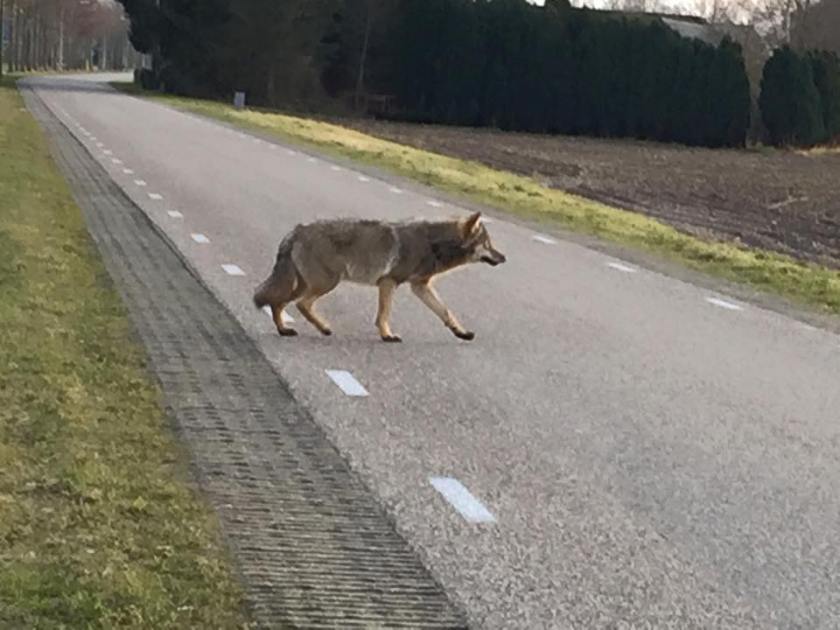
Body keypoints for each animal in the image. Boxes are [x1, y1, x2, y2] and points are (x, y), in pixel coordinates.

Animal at [253, 211, 506, 342]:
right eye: (488, 244)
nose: (504, 258)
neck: (434, 245)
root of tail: (296, 230)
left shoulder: (419, 286)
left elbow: (445, 311)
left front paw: (461, 332)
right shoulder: (389, 282)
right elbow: (384, 314)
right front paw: (387, 335)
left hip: (303, 284)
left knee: (278, 303)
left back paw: (284, 330)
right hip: (325, 283)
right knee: (300, 304)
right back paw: (323, 329)